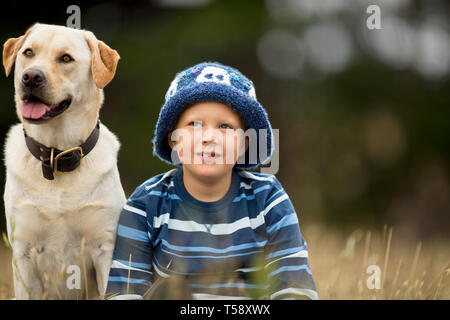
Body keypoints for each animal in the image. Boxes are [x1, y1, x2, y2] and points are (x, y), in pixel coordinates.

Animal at [3, 23, 126, 300]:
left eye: (66, 58)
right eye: (28, 53)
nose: (31, 77)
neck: (57, 156)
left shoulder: (105, 247)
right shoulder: (23, 252)